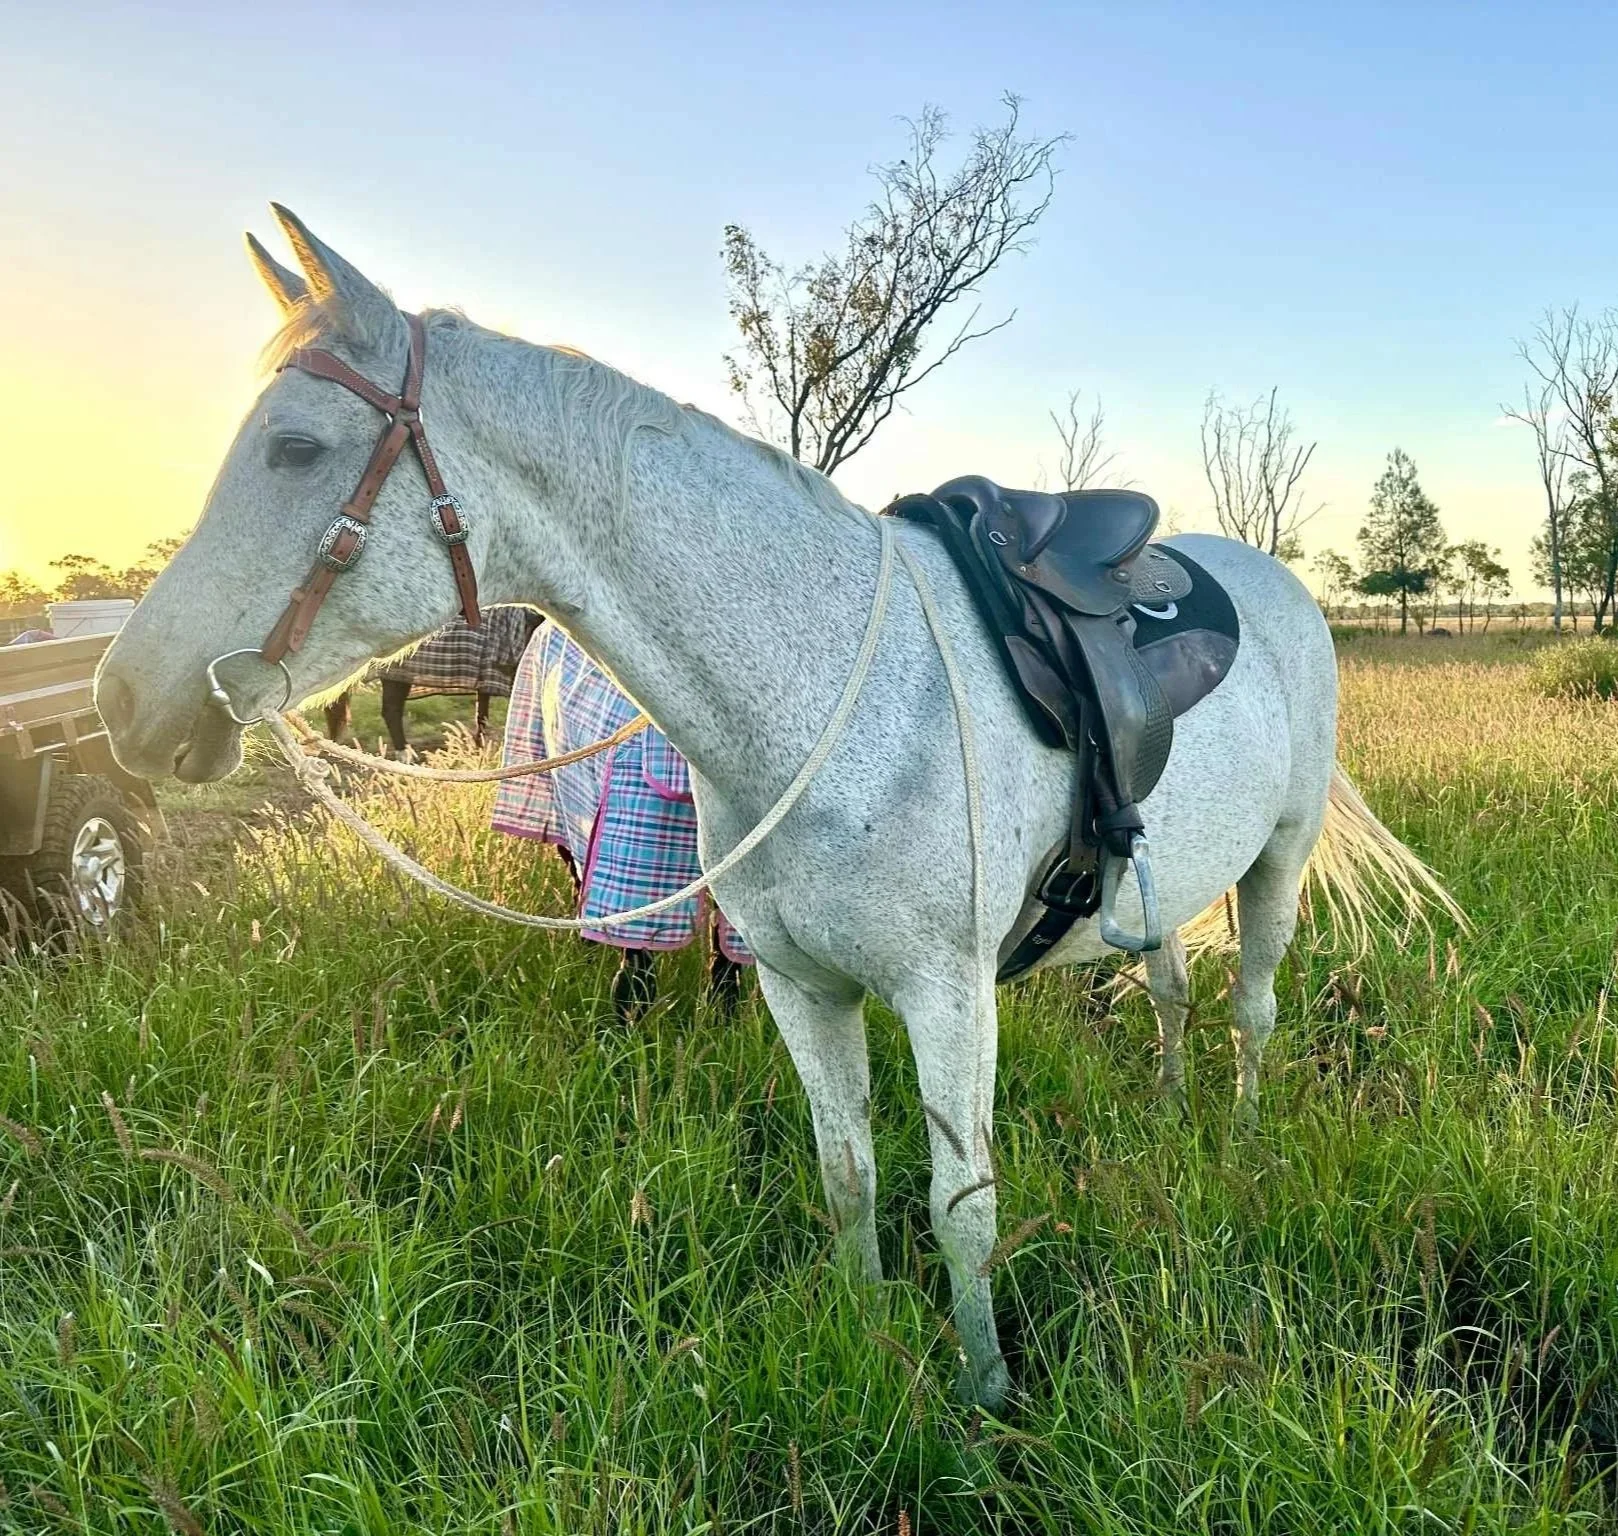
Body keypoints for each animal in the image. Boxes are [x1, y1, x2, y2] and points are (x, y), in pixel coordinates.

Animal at [96, 206, 1446, 1406]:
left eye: (296, 448)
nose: (125, 699)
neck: (823, 687)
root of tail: (1276, 585)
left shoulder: (947, 996)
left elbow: (962, 1207)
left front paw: (987, 1397)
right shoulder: (802, 986)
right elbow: (848, 1175)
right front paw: (869, 1336)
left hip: (1276, 863)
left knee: (1252, 1010)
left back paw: (1237, 1140)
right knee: (1167, 989)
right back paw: (1168, 1119)